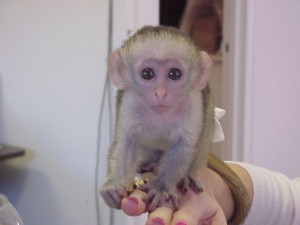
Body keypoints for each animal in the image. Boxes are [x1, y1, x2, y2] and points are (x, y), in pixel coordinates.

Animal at [101, 25, 216, 211]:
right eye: (147, 73)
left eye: (174, 74)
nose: (161, 93)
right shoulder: (130, 101)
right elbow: (125, 143)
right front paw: (115, 183)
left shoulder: (194, 101)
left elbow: (184, 145)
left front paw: (160, 188)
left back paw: (187, 175)